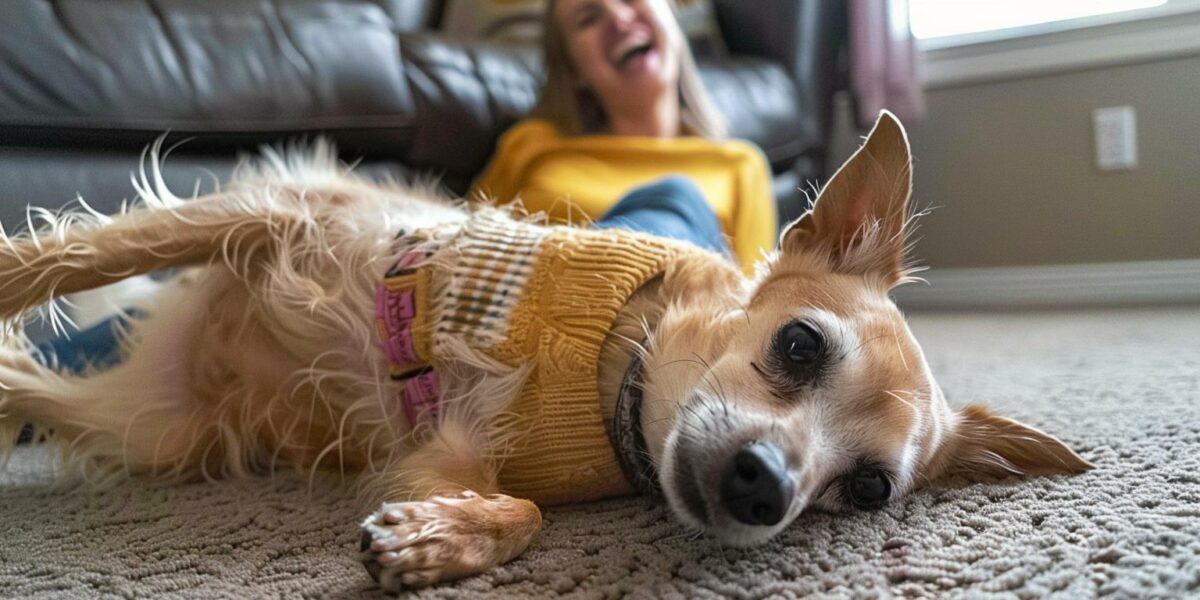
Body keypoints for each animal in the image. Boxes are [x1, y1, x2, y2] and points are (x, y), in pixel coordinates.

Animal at [0, 112, 1089, 590]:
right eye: (799, 344)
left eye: (867, 491)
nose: (766, 490)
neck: (612, 380)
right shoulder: (272, 213)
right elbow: (62, 259)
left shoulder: (437, 451)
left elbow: (519, 510)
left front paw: (440, 540)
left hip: (158, 433)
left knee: (29, 387)